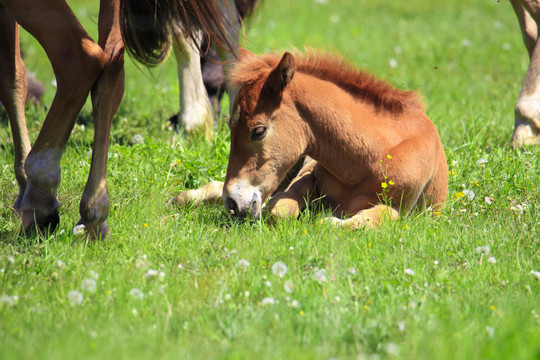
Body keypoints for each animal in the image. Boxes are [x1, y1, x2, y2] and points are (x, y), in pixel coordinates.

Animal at [173, 48, 448, 228]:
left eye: (258, 131)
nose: (233, 202)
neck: (368, 160)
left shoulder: (400, 208)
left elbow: (363, 222)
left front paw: (327, 220)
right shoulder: (306, 175)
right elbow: (279, 209)